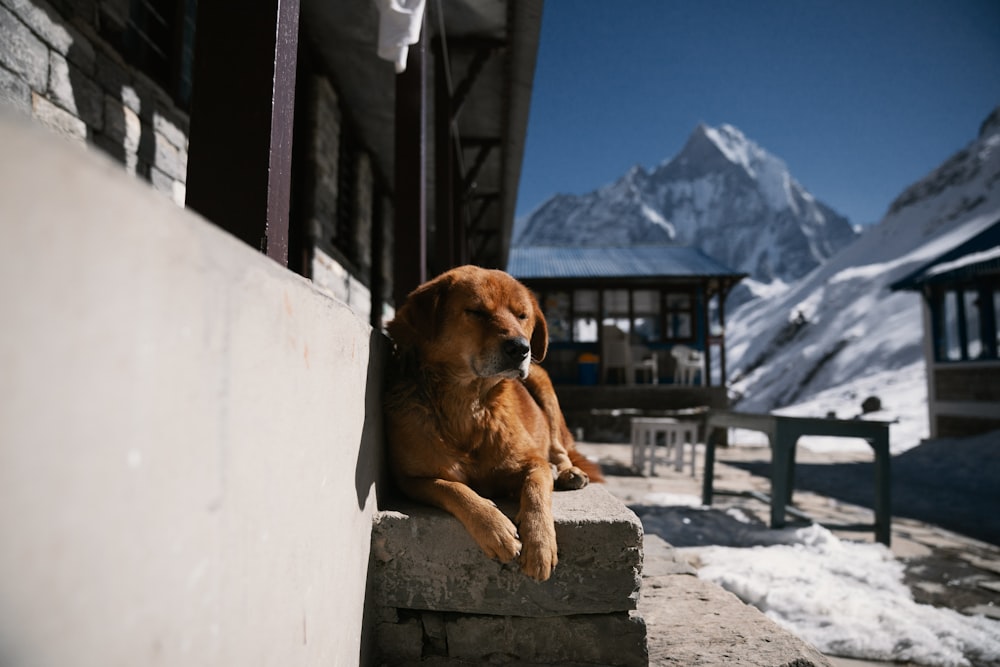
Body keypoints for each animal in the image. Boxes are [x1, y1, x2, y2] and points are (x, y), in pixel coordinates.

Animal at [382, 264, 600, 580]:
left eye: (522, 315)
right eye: (477, 311)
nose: (521, 348)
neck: (469, 403)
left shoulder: (533, 462)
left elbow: (536, 490)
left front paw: (541, 544)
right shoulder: (411, 480)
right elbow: (453, 488)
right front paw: (494, 527)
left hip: (542, 382)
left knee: (559, 449)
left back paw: (568, 472)